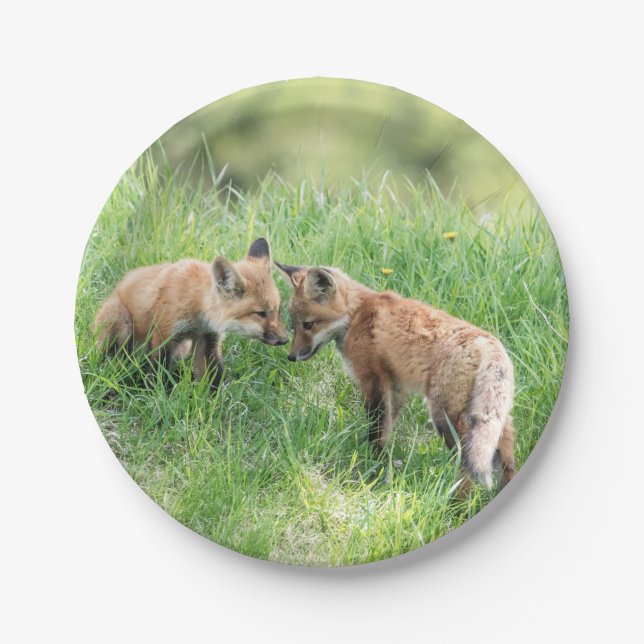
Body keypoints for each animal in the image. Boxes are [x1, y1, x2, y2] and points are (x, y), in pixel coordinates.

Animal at [92, 238, 288, 390]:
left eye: (278, 310)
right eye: (261, 313)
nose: (285, 340)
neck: (197, 304)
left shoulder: (208, 339)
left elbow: (214, 379)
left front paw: (218, 405)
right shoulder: (164, 335)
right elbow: (158, 376)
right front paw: (158, 398)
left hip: (182, 348)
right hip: (120, 323)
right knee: (112, 357)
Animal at [276, 261, 516, 490]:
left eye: (308, 324)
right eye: (293, 325)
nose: (291, 356)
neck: (356, 314)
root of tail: (489, 344)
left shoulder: (373, 380)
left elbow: (376, 429)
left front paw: (371, 465)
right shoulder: (396, 386)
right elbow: (387, 429)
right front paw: (383, 463)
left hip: (445, 417)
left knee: (465, 467)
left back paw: (455, 503)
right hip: (495, 421)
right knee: (508, 462)